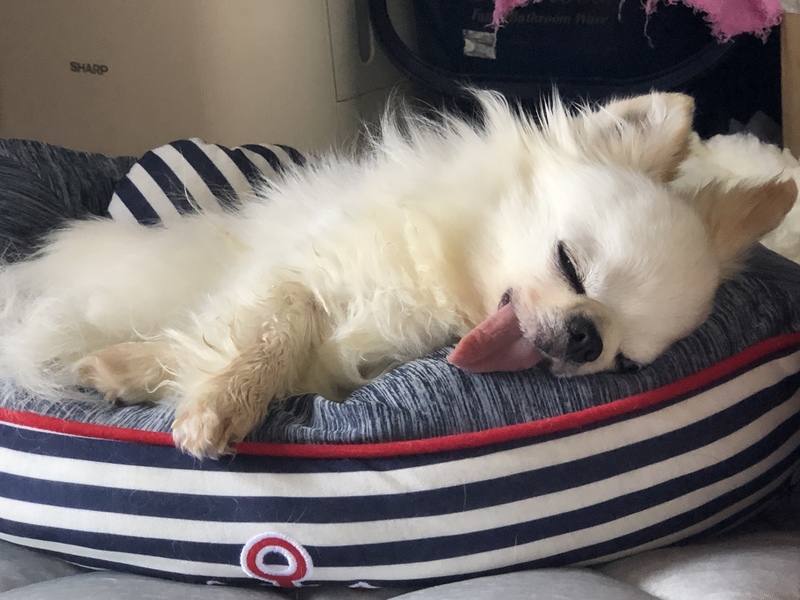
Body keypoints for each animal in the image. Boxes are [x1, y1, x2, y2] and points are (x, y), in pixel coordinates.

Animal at [0, 91, 794, 458]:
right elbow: (267, 337)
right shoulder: (295, 274)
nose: (583, 337)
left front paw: (172, 388)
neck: (441, 286)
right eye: (571, 265)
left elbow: (256, 350)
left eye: (624, 362)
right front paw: (218, 407)